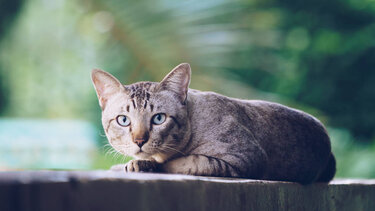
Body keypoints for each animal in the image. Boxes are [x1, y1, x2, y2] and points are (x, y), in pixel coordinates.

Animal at [92, 63, 338, 185]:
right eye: (124, 120)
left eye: (158, 118)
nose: (139, 140)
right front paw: (136, 163)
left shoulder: (244, 158)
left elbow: (183, 162)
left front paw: (141, 165)